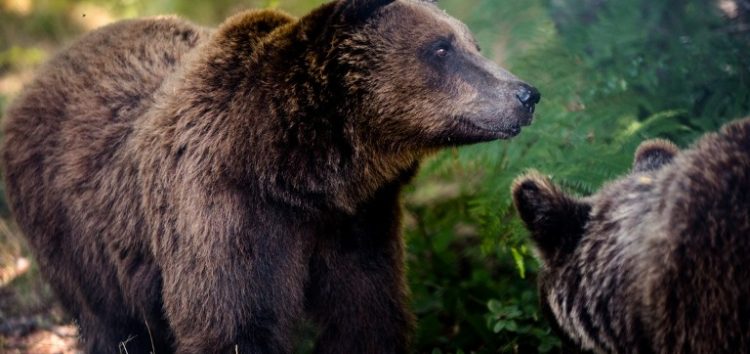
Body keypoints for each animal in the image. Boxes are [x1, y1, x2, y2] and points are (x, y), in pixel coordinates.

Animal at [0, 0, 540, 354]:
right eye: (441, 48)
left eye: (471, 43)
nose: (526, 93)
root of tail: (43, 72)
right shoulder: (225, 212)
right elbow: (235, 324)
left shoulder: (360, 224)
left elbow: (367, 315)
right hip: (71, 231)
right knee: (113, 323)